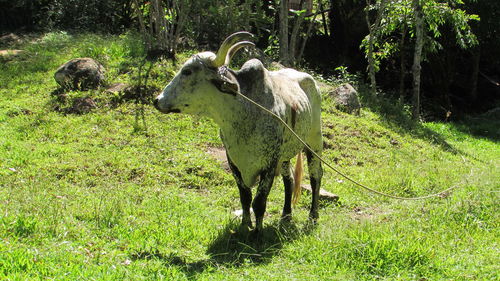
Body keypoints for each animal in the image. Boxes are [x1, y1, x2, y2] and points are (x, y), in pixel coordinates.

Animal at [153, 31, 324, 232]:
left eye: (187, 71)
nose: (157, 100)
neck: (243, 116)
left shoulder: (269, 164)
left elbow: (259, 203)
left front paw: (257, 233)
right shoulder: (233, 161)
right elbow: (245, 198)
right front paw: (244, 225)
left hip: (314, 141)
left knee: (315, 176)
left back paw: (313, 217)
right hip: (286, 153)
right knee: (288, 179)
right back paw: (286, 215)